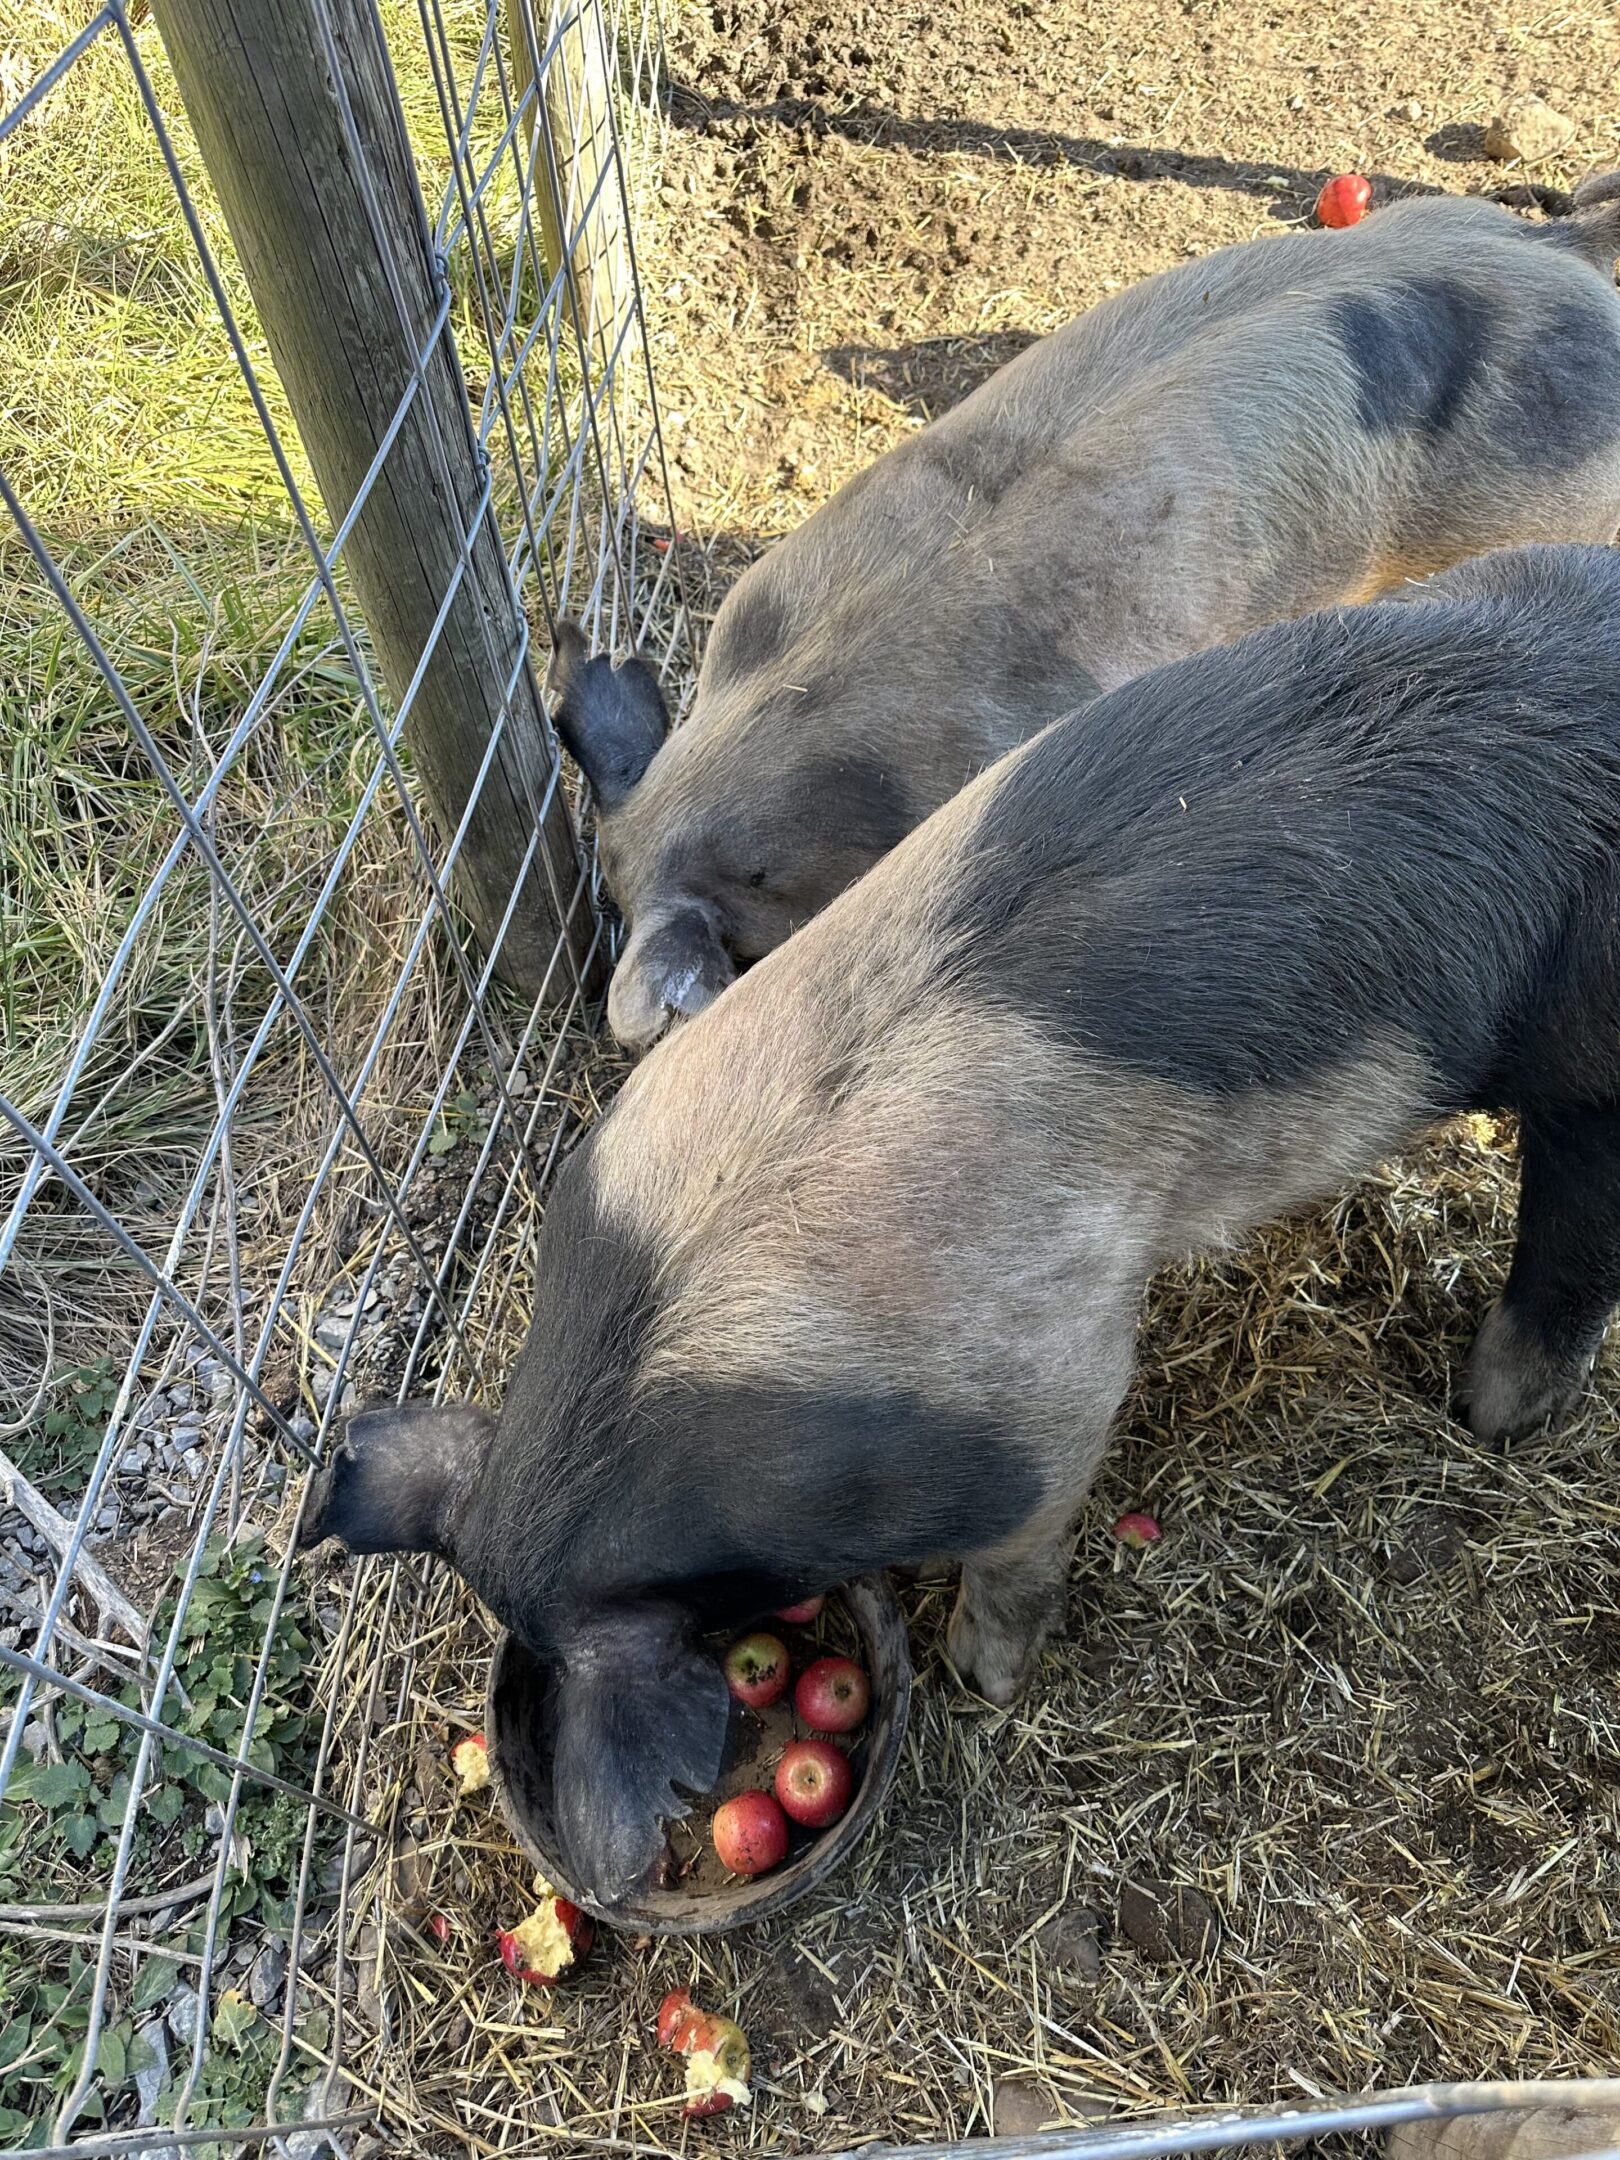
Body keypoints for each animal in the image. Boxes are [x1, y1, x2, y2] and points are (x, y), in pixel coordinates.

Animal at [304, 542, 1620, 1906]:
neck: (659, 1346)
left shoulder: (1043, 1402)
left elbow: (1021, 1549)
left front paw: (980, 1678)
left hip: (1591, 1047)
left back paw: (1495, 1412)